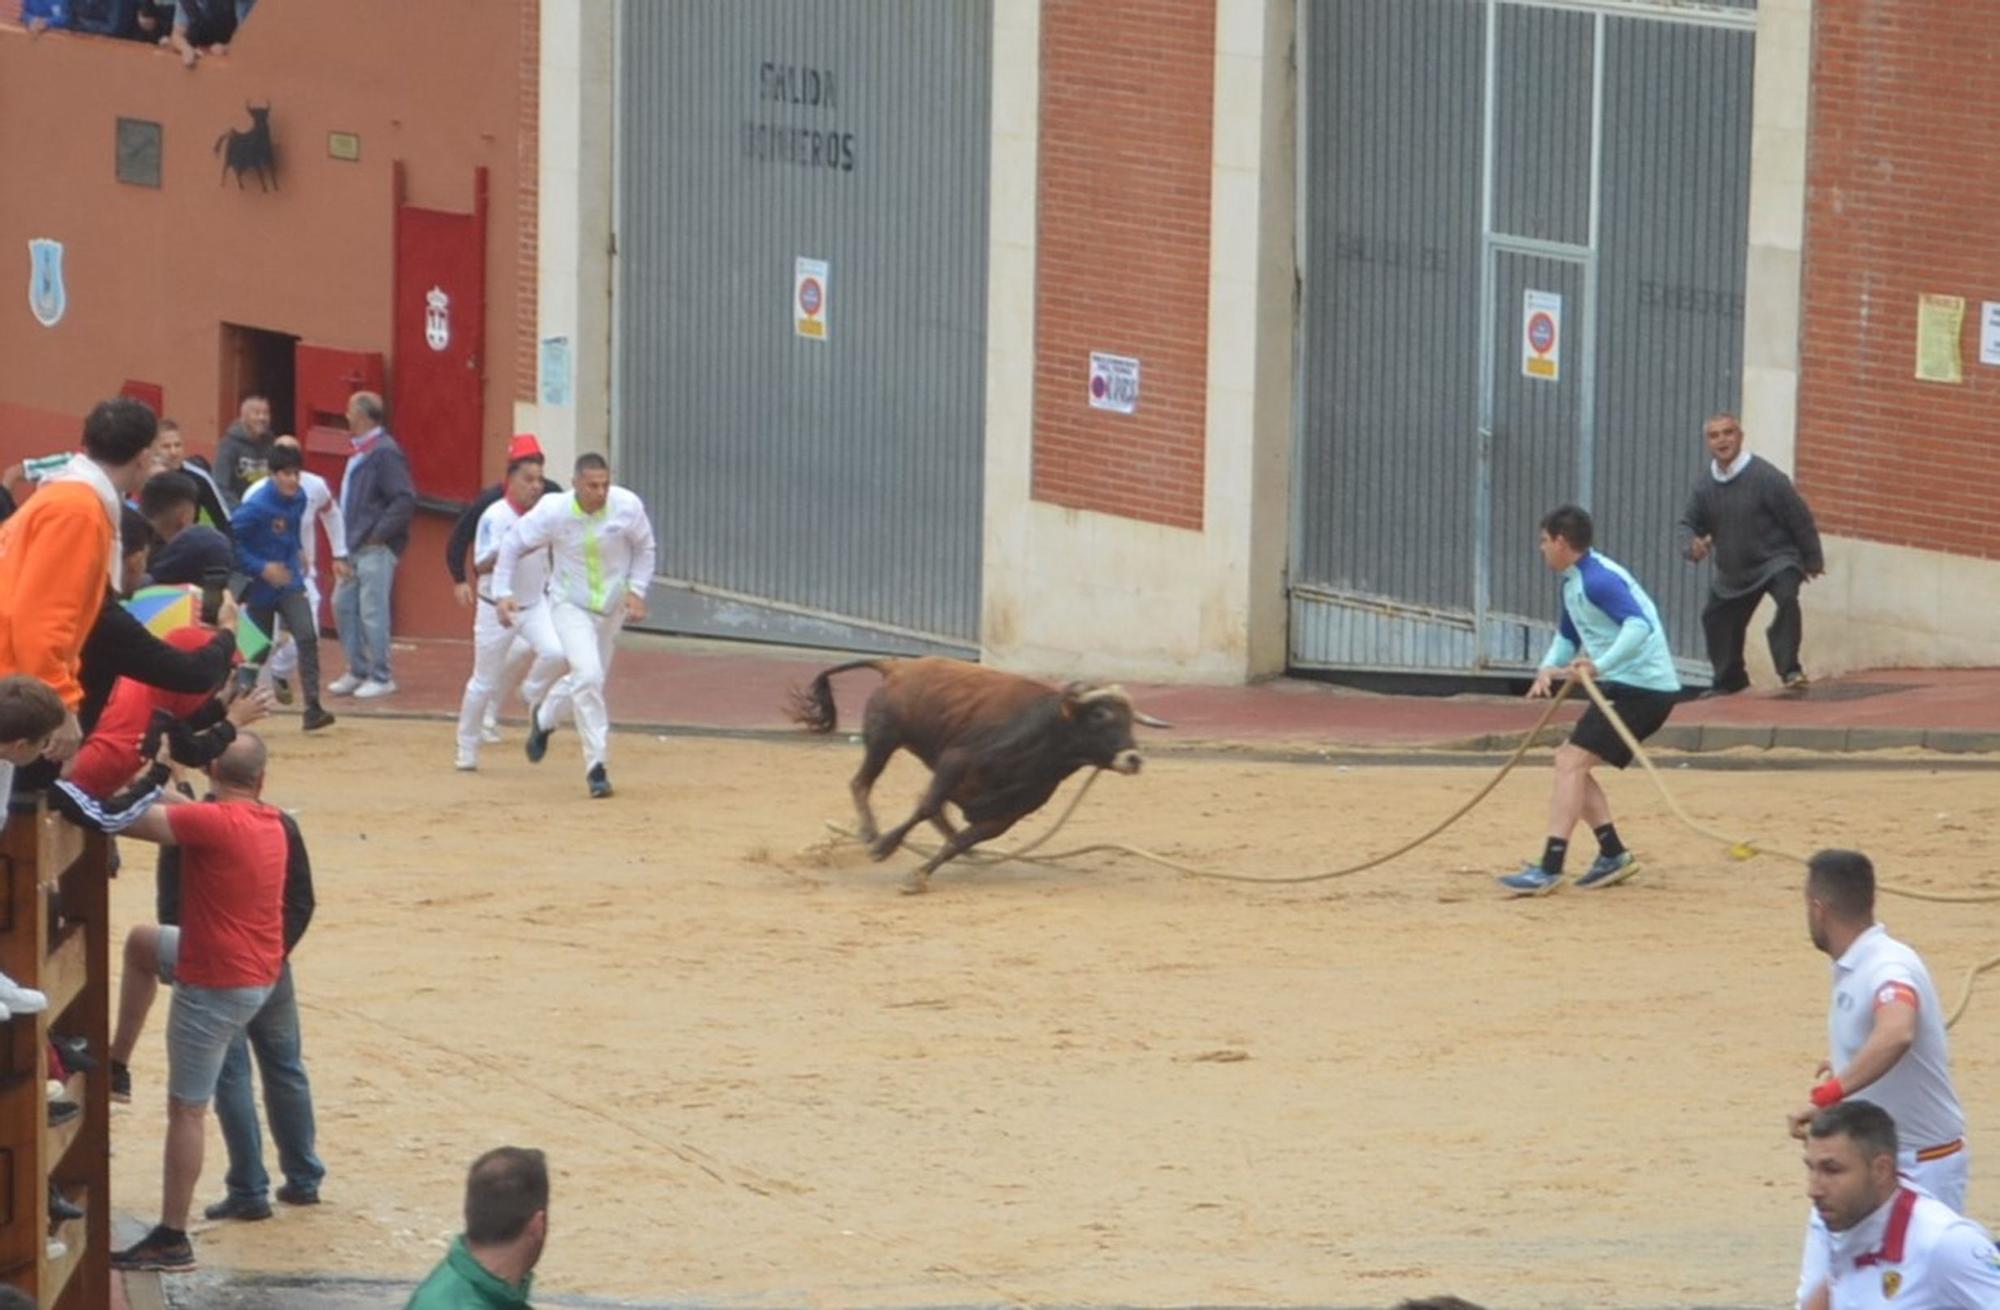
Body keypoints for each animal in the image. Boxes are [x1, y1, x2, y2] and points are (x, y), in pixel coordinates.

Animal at [784, 656, 1168, 892]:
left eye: (1130, 719)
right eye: (1100, 715)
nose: (1133, 758)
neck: (1044, 740)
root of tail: (897, 667)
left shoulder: (1006, 816)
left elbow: (957, 839)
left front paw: (919, 875)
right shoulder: (954, 763)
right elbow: (924, 808)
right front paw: (884, 846)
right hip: (884, 738)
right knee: (863, 782)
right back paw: (869, 831)